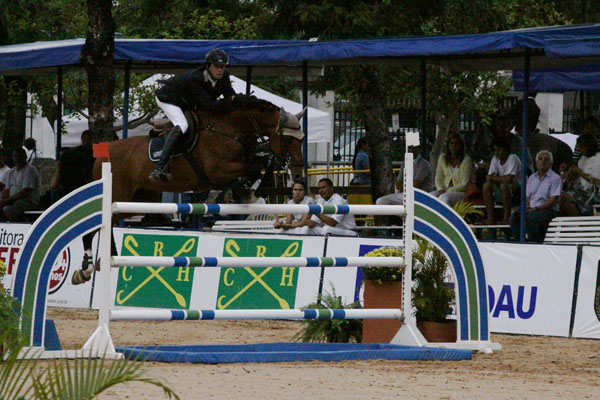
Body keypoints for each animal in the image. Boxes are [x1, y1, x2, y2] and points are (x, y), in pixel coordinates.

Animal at [70, 96, 304, 284]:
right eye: (288, 138)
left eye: (301, 139)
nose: (298, 173)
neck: (231, 130)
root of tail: (101, 155)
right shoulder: (218, 171)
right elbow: (255, 168)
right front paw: (250, 188)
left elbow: (263, 163)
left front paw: (255, 189)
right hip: (119, 197)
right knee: (95, 227)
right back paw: (87, 267)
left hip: (134, 203)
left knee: (106, 224)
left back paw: (103, 260)